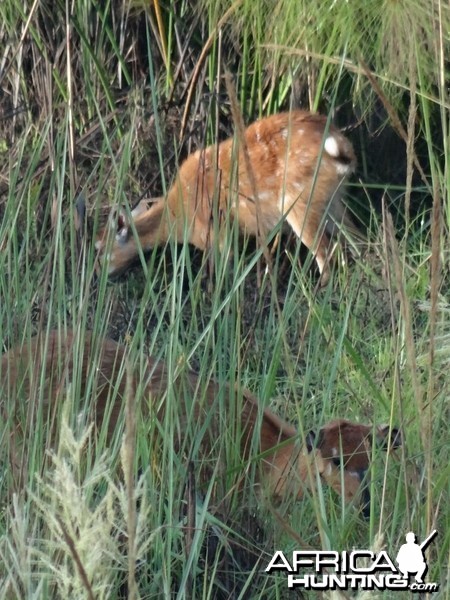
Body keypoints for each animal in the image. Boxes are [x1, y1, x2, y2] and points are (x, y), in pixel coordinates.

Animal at [96, 110, 358, 284]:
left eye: (98, 249)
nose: (99, 276)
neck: (179, 216)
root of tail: (341, 146)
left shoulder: (217, 234)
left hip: (300, 203)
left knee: (324, 251)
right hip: (333, 200)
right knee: (354, 237)